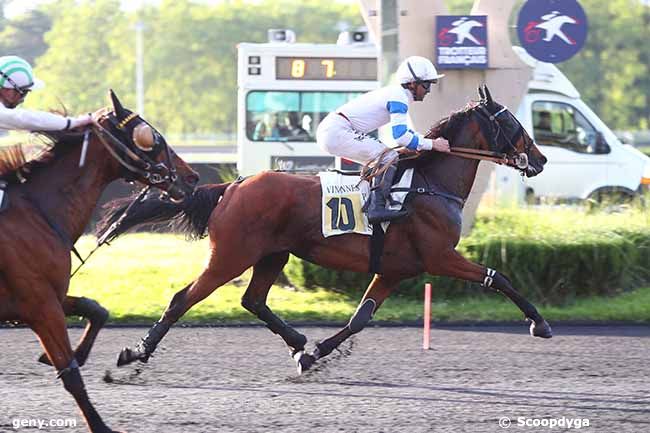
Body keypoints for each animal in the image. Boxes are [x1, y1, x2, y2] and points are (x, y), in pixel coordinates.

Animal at [0, 90, 197, 432]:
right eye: (151, 136)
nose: (192, 176)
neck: (36, 214)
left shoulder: (46, 297)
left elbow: (96, 309)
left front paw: (69, 354)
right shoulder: (39, 305)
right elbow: (71, 376)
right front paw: (100, 425)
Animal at [109, 85, 548, 374]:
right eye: (511, 120)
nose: (540, 159)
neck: (429, 183)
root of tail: (231, 186)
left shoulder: (394, 269)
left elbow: (360, 317)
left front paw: (314, 353)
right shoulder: (439, 257)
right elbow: (498, 277)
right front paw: (538, 323)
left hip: (273, 254)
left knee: (253, 300)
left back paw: (297, 342)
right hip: (232, 256)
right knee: (183, 298)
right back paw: (137, 351)